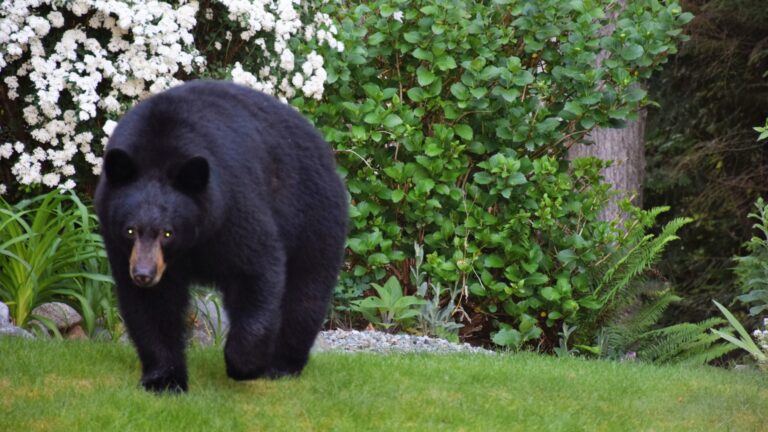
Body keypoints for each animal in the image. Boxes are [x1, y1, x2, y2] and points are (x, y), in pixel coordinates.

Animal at [94, 80, 348, 393]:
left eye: (168, 232)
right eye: (130, 230)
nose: (143, 274)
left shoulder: (233, 207)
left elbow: (256, 270)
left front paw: (245, 365)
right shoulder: (122, 246)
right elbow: (153, 306)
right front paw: (164, 379)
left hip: (313, 214)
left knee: (306, 291)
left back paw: (282, 365)